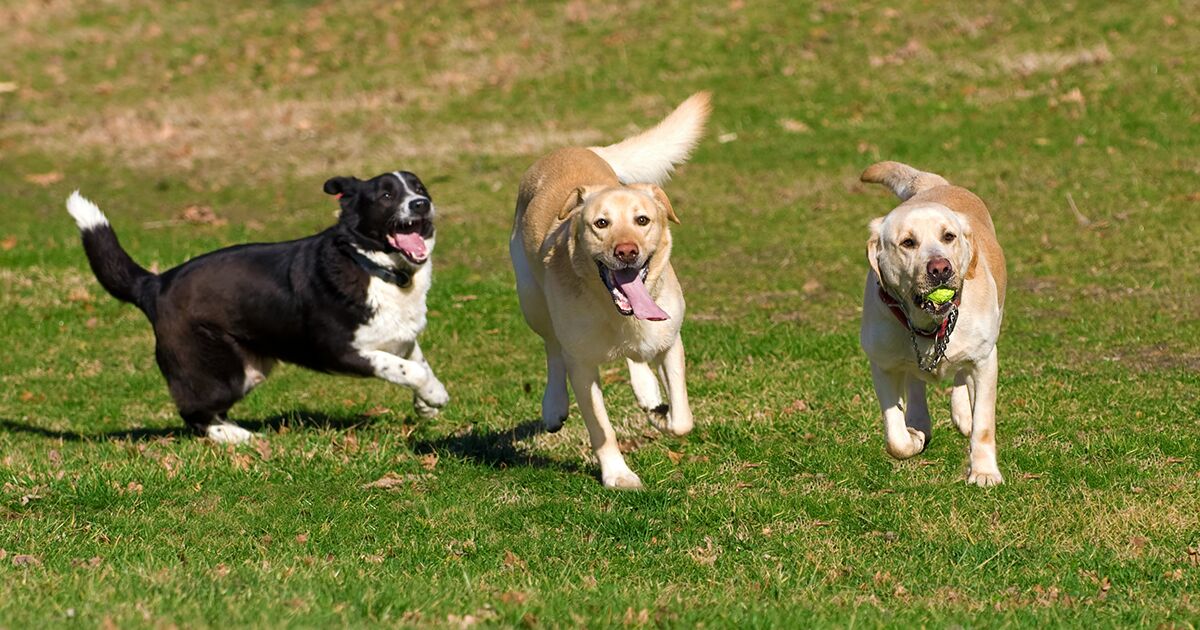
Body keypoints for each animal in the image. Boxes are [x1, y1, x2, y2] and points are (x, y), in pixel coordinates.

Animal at [66, 169, 451, 439]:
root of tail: (155, 284)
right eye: (386, 194)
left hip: (249, 369)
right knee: (193, 412)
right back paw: (235, 436)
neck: (376, 267)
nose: (421, 204)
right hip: (223, 374)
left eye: (419, 188)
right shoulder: (342, 351)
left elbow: (417, 362)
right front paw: (434, 395)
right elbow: (410, 369)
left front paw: (426, 403)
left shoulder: (400, 338)